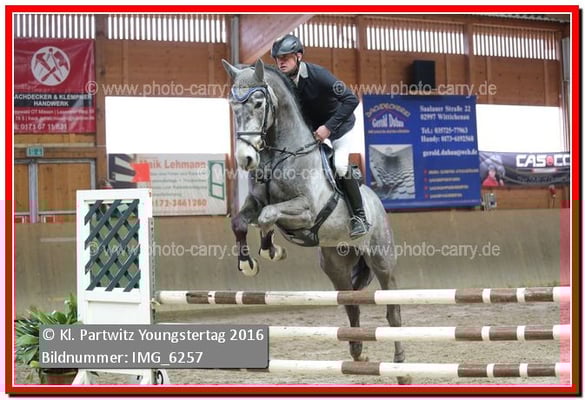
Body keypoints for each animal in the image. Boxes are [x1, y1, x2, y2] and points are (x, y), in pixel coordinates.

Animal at [223, 59, 410, 384]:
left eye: (258, 103)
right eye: (234, 106)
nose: (246, 159)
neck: (280, 155)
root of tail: (377, 202)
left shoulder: (307, 210)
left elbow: (268, 216)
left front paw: (271, 250)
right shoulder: (255, 202)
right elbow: (242, 222)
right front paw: (250, 262)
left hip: (382, 261)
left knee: (392, 311)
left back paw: (399, 367)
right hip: (336, 266)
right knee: (351, 304)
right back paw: (357, 352)